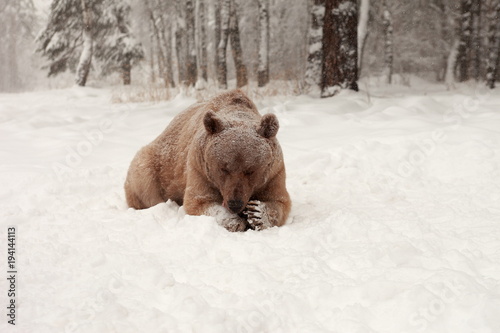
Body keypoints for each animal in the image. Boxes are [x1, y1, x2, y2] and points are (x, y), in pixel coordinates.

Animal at [122, 87, 292, 231]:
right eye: (224, 168)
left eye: (251, 170)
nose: (235, 203)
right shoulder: (200, 168)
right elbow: (199, 201)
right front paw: (235, 221)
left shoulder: (274, 172)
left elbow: (280, 201)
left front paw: (257, 214)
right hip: (153, 165)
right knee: (145, 184)